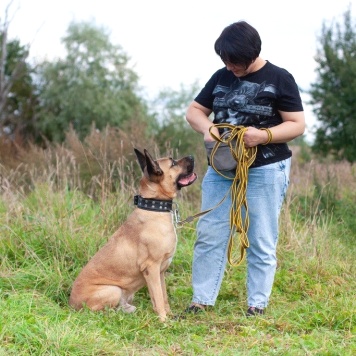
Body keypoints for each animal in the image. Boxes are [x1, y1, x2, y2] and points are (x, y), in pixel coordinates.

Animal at [69, 149, 197, 322]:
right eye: (173, 163)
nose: (191, 156)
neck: (154, 207)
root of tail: (70, 305)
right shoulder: (151, 268)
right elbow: (158, 298)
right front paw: (164, 321)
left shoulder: (161, 271)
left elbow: (163, 297)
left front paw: (170, 316)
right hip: (113, 290)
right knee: (99, 312)